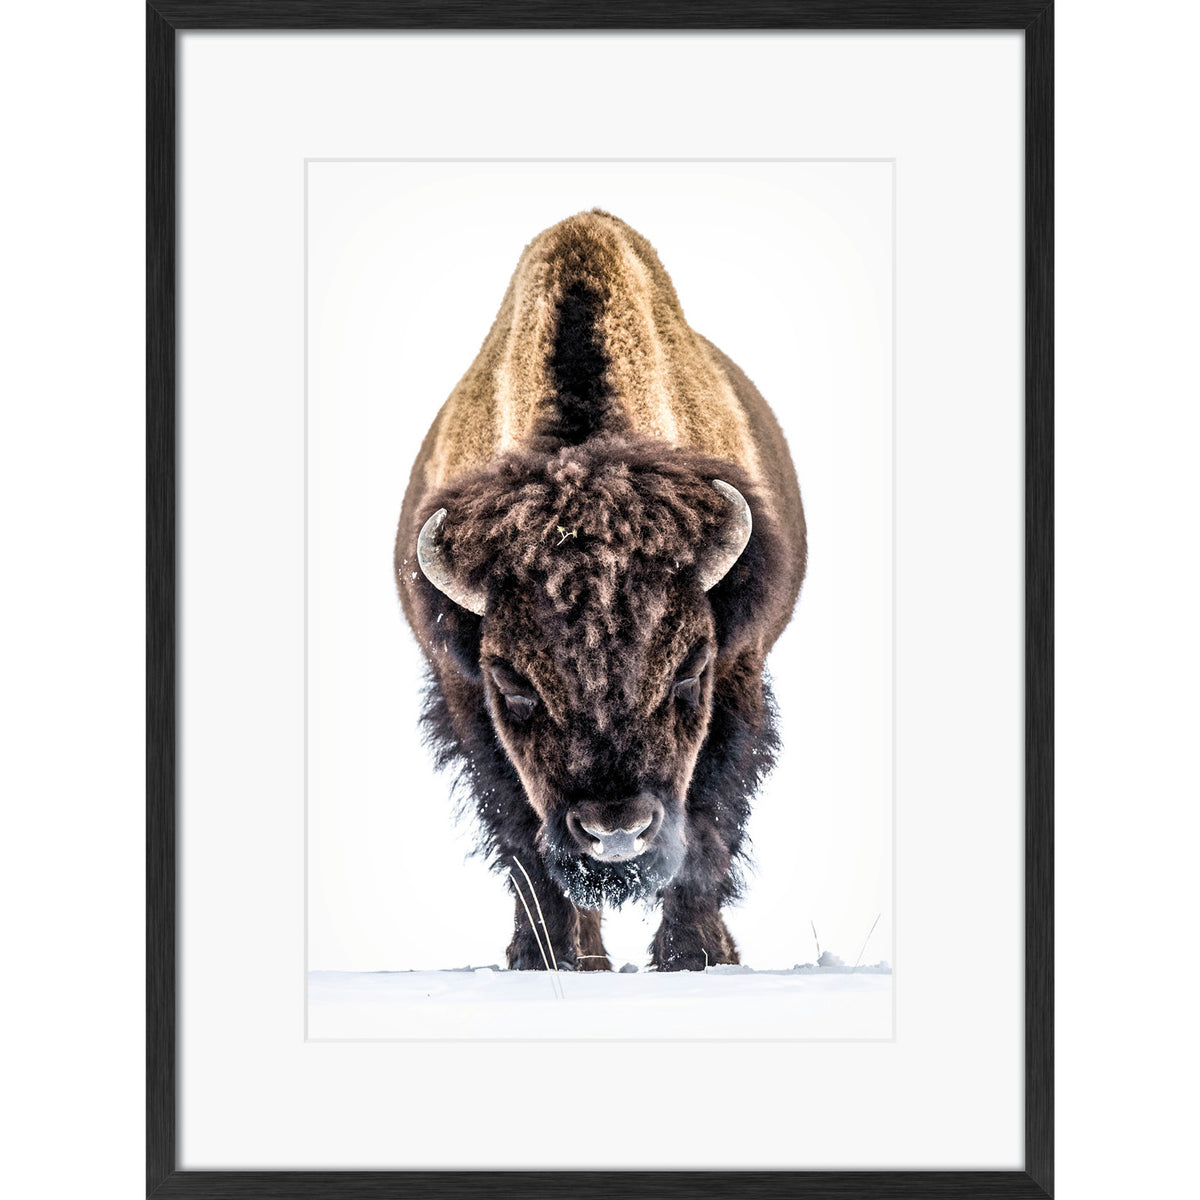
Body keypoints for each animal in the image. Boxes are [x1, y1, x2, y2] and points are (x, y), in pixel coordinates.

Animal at [395, 210, 806, 971]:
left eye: (690, 671)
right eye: (513, 682)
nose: (616, 830)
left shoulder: (739, 671)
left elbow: (707, 824)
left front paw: (692, 956)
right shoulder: (464, 696)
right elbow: (524, 841)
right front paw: (546, 959)